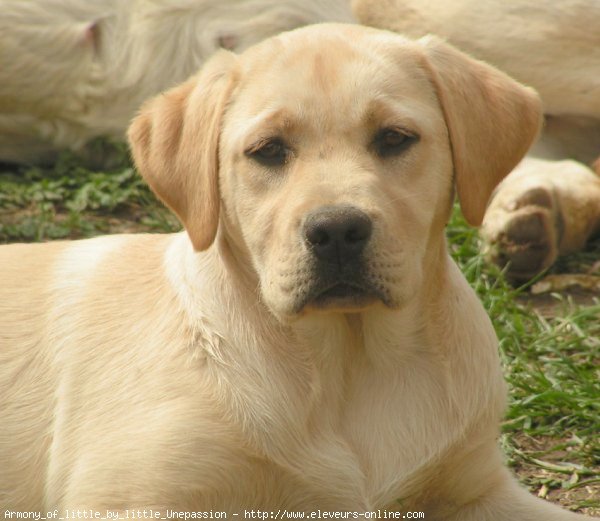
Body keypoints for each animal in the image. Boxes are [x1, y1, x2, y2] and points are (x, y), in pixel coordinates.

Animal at [0, 23, 592, 516]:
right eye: (268, 151)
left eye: (395, 138)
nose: (337, 231)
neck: (352, 367)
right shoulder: (128, 497)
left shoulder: (479, 489)